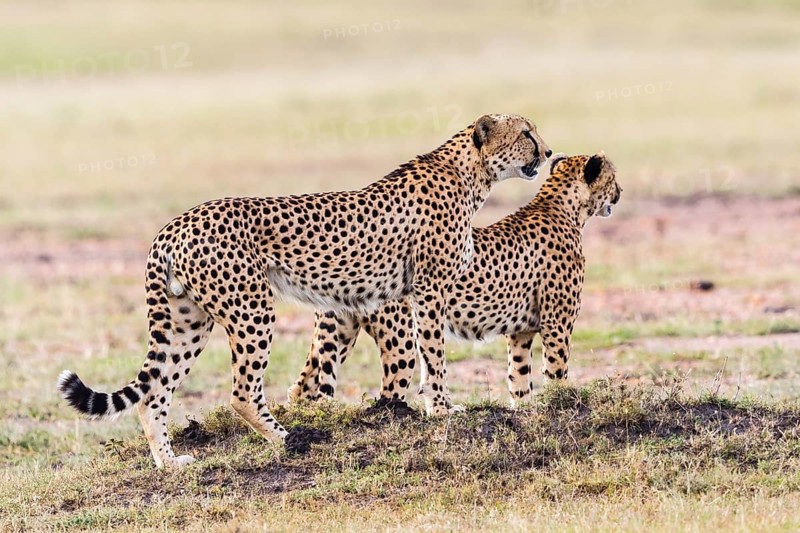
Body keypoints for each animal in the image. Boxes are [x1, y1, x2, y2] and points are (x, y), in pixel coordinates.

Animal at [57, 113, 551, 468]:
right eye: (526, 132)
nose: (548, 151)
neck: (470, 173)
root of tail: (174, 224)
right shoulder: (428, 291)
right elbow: (434, 356)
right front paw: (443, 410)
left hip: (187, 320)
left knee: (154, 394)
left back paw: (169, 462)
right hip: (251, 309)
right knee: (240, 393)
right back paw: (289, 439)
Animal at [289, 152, 620, 406]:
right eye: (613, 177)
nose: (619, 194)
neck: (561, 207)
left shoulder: (520, 332)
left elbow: (519, 378)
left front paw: (526, 410)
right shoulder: (556, 325)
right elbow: (556, 371)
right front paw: (560, 406)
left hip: (340, 332)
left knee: (303, 387)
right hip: (402, 339)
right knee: (389, 391)